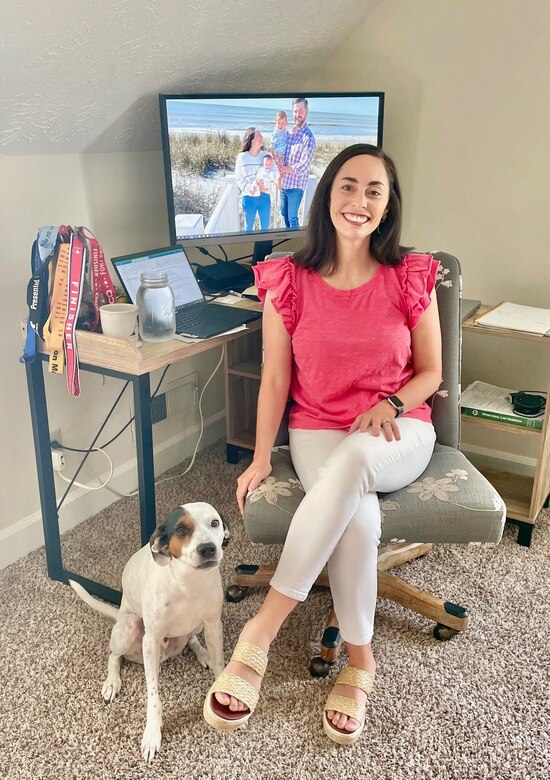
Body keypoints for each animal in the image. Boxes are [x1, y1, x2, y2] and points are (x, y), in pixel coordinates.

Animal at [70, 500, 230, 760]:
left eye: (214, 523)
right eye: (181, 530)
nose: (208, 549)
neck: (188, 582)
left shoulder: (214, 625)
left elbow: (220, 666)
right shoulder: (151, 640)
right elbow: (153, 697)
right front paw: (152, 734)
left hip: (196, 626)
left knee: (192, 639)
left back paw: (202, 653)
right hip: (130, 627)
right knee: (114, 656)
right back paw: (112, 682)